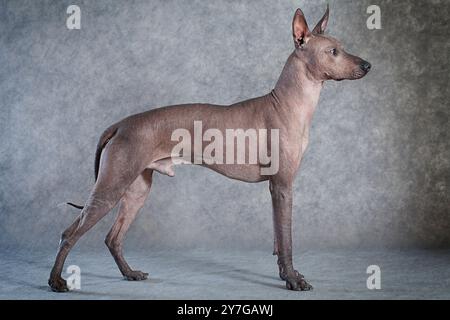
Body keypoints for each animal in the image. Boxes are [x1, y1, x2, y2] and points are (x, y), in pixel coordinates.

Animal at [49, 5, 370, 292]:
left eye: (343, 47)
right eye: (333, 51)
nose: (367, 65)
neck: (288, 102)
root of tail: (120, 124)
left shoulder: (277, 189)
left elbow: (278, 239)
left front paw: (285, 274)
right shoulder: (282, 186)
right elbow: (287, 239)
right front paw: (292, 280)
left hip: (137, 189)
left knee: (112, 238)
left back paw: (130, 274)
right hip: (111, 186)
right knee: (69, 233)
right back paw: (56, 282)